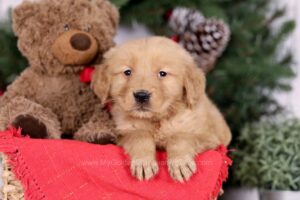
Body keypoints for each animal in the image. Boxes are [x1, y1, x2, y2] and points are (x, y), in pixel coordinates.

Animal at [92, 36, 231, 182]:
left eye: (162, 73)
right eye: (127, 72)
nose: (141, 95)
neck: (158, 120)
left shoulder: (209, 138)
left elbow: (180, 136)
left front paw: (180, 163)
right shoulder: (122, 133)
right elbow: (139, 135)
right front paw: (144, 162)